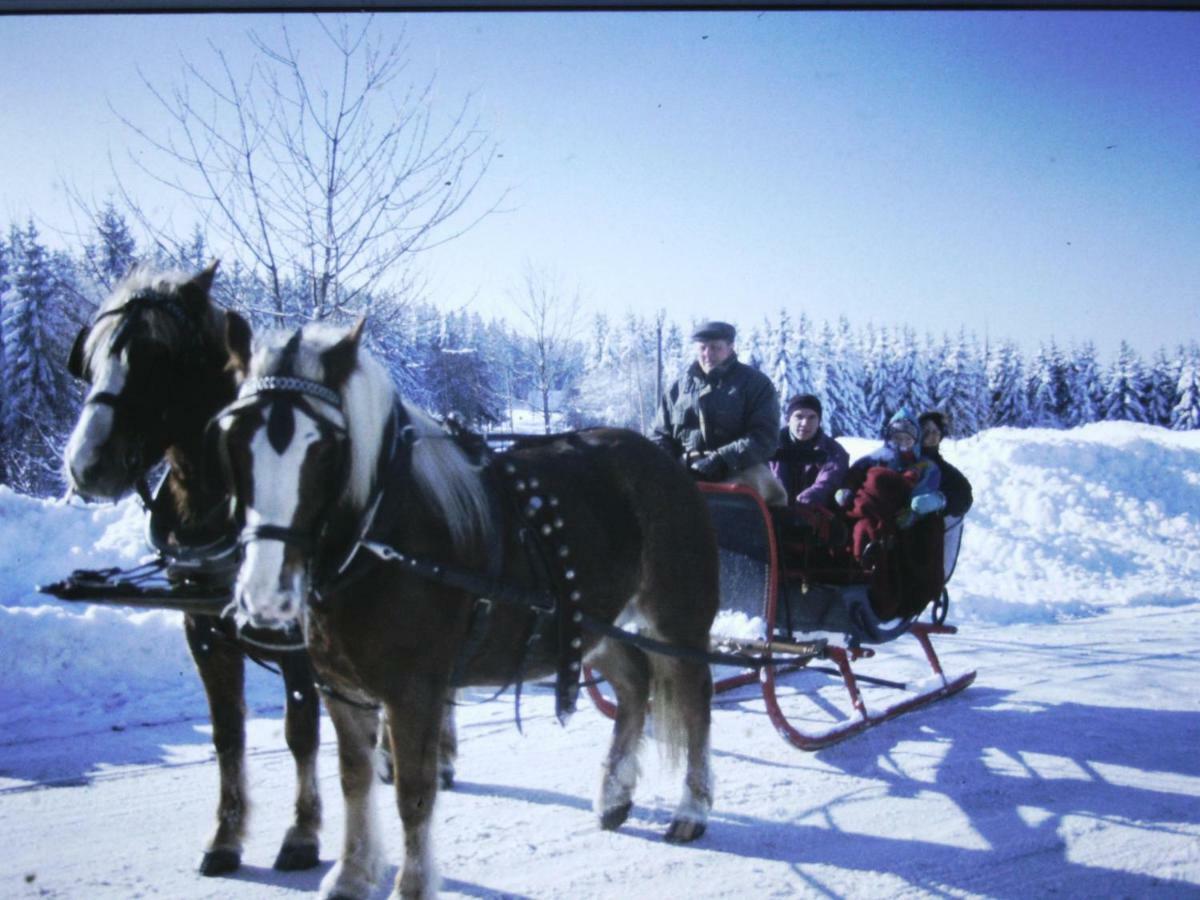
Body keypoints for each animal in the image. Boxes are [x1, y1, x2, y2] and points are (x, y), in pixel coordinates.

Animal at [59, 266, 326, 873]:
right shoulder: (201, 629)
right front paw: (225, 837)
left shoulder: (296, 636)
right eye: (89, 357)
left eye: (158, 356)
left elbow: (300, 729)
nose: (86, 465)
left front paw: (302, 834)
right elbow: (228, 734)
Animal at [217, 324, 715, 900]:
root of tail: (664, 461)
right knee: (635, 684)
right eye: (233, 439)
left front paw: (411, 885)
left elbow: (413, 792)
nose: (263, 594)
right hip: (594, 624)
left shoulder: (414, 690)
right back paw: (614, 794)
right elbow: (354, 781)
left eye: (322, 448)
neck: (383, 536)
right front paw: (352, 875)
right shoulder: (340, 688)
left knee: (696, 699)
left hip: (677, 620)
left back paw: (692, 809)